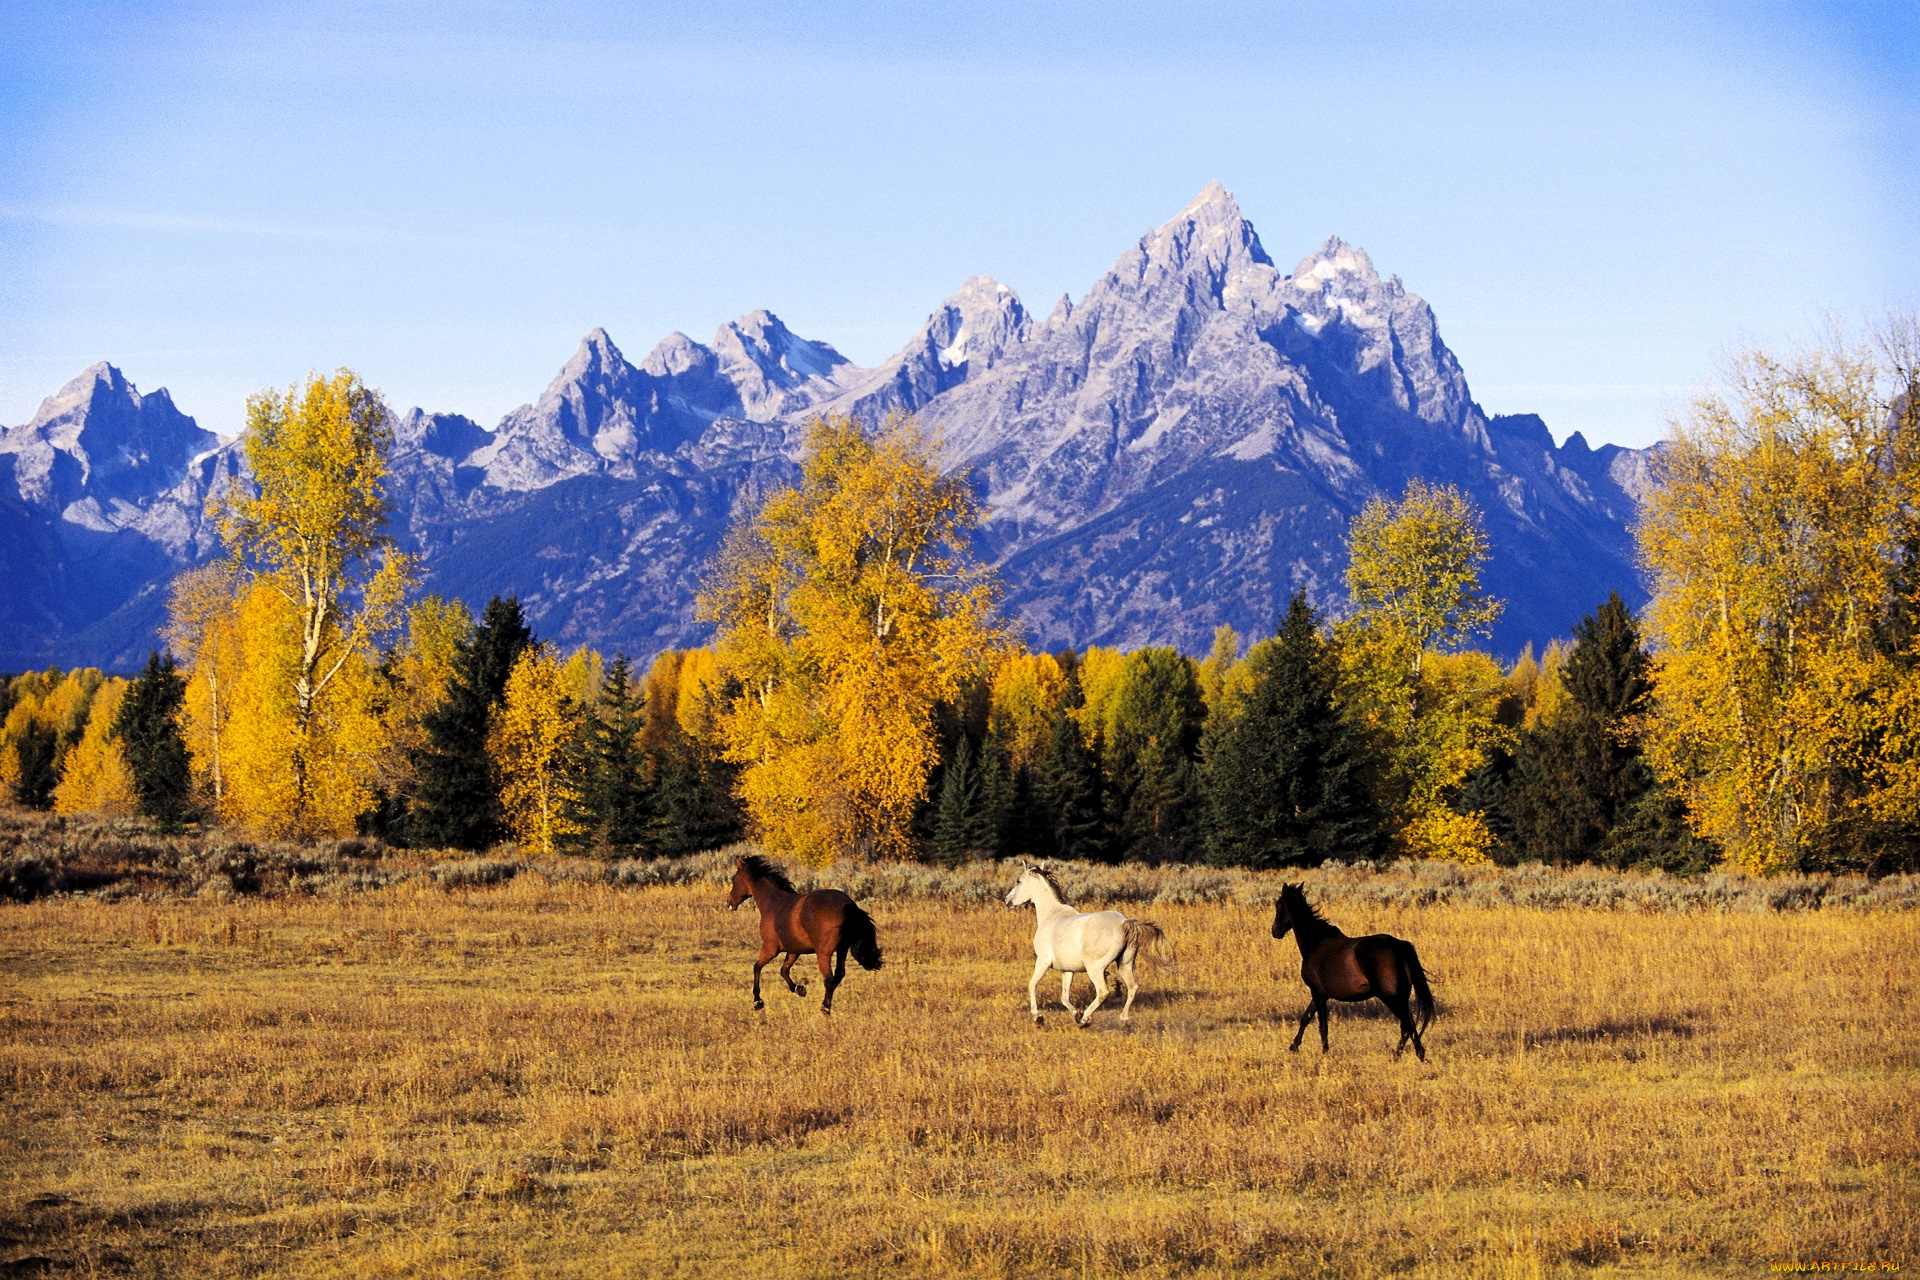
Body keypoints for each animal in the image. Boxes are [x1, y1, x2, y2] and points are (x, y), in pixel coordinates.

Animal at [725, 855, 883, 1013]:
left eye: (734, 879)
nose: (729, 902)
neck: (773, 903)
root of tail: (849, 905)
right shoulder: (794, 950)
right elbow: (784, 970)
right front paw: (799, 989)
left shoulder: (770, 948)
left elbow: (757, 967)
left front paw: (757, 1001)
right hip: (842, 949)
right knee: (839, 975)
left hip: (823, 954)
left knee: (829, 979)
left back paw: (825, 1008)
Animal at [1013, 867, 1159, 1028]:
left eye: (1018, 881)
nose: (1008, 901)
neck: (1051, 915)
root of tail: (1124, 922)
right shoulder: (1067, 970)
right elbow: (1064, 997)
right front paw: (1076, 1014)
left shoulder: (1043, 961)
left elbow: (1032, 985)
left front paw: (1037, 1017)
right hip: (1125, 965)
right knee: (1133, 986)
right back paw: (1123, 1019)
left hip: (1095, 969)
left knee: (1103, 991)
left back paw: (1085, 1019)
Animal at [1267, 882, 1436, 1059]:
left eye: (1279, 905)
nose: (1275, 931)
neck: (1316, 943)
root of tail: (1400, 945)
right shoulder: (1321, 994)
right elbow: (1305, 1018)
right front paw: (1293, 1046)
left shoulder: (1317, 993)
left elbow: (1322, 1026)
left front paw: (1324, 1053)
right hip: (1401, 996)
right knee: (1406, 1025)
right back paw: (1397, 1055)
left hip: (1391, 997)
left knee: (1408, 1022)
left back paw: (1418, 1054)